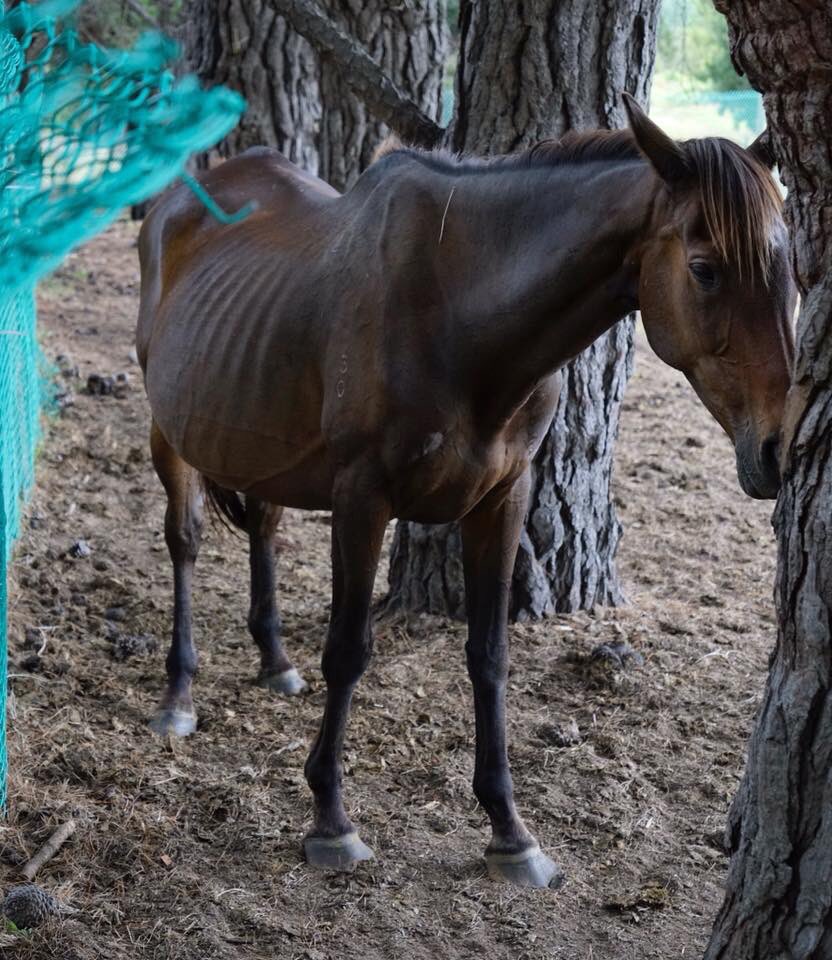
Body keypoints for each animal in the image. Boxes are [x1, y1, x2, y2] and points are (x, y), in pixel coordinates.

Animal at [136, 93, 795, 887]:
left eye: (792, 269)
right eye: (705, 269)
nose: (777, 447)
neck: (459, 313)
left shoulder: (502, 501)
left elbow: (489, 655)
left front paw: (510, 831)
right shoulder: (363, 499)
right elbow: (348, 649)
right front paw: (331, 820)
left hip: (253, 431)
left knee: (262, 523)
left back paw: (275, 662)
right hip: (169, 430)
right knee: (185, 542)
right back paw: (178, 694)